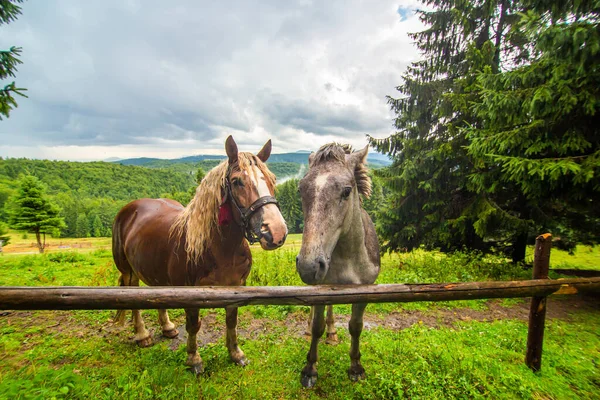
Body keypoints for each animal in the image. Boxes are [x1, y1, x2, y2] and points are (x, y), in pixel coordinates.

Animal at [115, 136, 290, 374]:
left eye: (272, 180)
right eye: (237, 181)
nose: (276, 231)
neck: (221, 249)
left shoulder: (236, 287)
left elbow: (232, 321)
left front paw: (236, 354)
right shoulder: (190, 293)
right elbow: (193, 325)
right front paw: (194, 359)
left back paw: (167, 328)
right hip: (128, 271)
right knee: (133, 297)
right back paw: (142, 335)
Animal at [294, 143, 380, 388]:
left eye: (347, 191)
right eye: (300, 190)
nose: (309, 266)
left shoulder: (363, 293)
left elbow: (356, 327)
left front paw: (356, 367)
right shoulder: (320, 291)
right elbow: (317, 326)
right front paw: (310, 370)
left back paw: (333, 334)